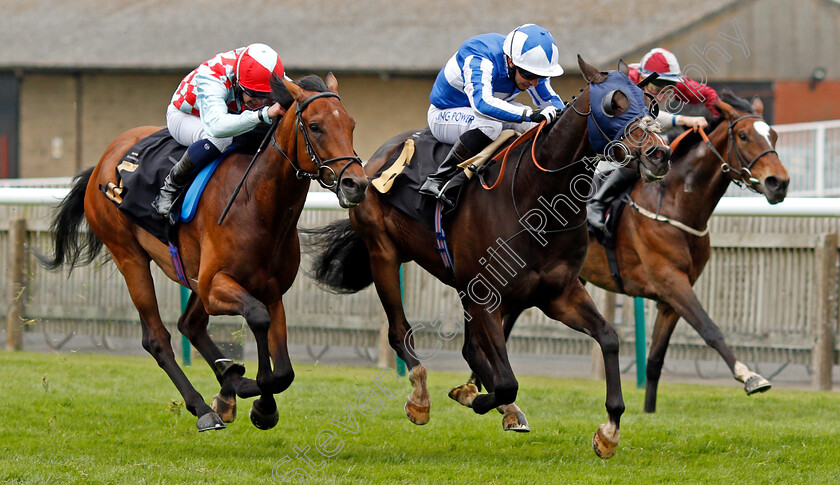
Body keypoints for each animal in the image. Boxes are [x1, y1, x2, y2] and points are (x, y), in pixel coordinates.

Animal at [38, 74, 368, 432]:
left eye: (351, 124)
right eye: (315, 126)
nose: (356, 184)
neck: (256, 204)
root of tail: (104, 160)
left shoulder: (269, 290)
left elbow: (283, 371)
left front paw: (254, 399)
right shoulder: (216, 287)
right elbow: (258, 321)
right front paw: (253, 392)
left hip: (192, 273)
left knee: (190, 324)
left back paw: (228, 384)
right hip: (129, 255)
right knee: (157, 338)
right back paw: (204, 406)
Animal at [306, 56, 672, 458]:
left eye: (652, 104)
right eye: (614, 104)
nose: (659, 154)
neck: (536, 198)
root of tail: (370, 162)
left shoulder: (558, 293)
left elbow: (608, 337)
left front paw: (609, 431)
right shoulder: (488, 296)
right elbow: (508, 381)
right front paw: (475, 398)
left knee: (470, 347)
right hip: (384, 254)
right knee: (400, 331)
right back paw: (421, 398)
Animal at [576, 89, 788, 410]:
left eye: (773, 135)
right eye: (743, 135)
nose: (779, 183)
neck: (676, 202)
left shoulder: (671, 297)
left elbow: (655, 360)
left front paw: (649, 413)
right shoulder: (671, 281)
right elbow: (710, 329)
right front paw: (749, 376)